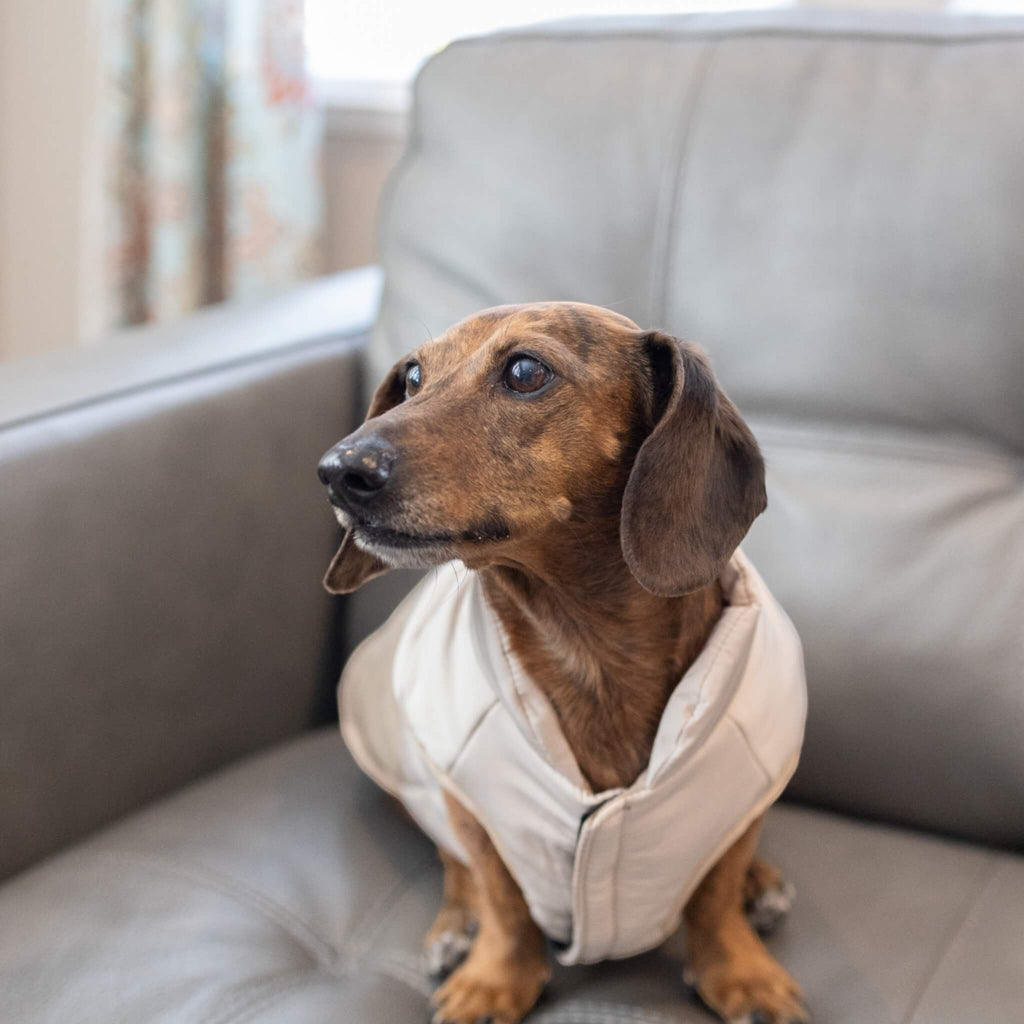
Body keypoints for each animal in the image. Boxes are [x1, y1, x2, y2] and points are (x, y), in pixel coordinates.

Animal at [315, 303, 802, 1024]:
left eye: (525, 371)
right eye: (411, 377)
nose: (337, 470)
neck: (589, 647)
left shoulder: (745, 788)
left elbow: (716, 889)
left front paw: (743, 972)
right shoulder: (475, 799)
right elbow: (501, 894)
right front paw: (494, 979)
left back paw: (760, 883)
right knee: (452, 858)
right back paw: (456, 925)